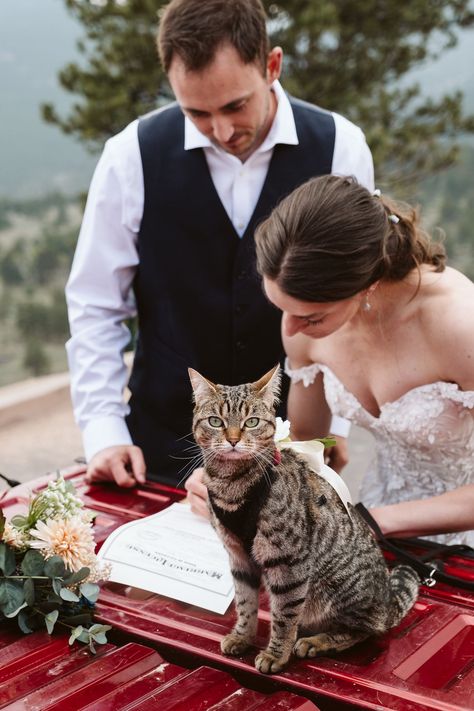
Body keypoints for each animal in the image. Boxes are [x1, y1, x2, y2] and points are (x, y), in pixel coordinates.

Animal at [188, 368, 418, 672]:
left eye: (252, 422)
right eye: (216, 421)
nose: (234, 440)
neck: (231, 485)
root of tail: (387, 601)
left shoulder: (288, 562)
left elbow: (284, 616)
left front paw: (276, 654)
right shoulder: (238, 557)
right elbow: (245, 603)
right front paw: (242, 637)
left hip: (340, 589)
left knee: (363, 630)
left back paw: (316, 642)